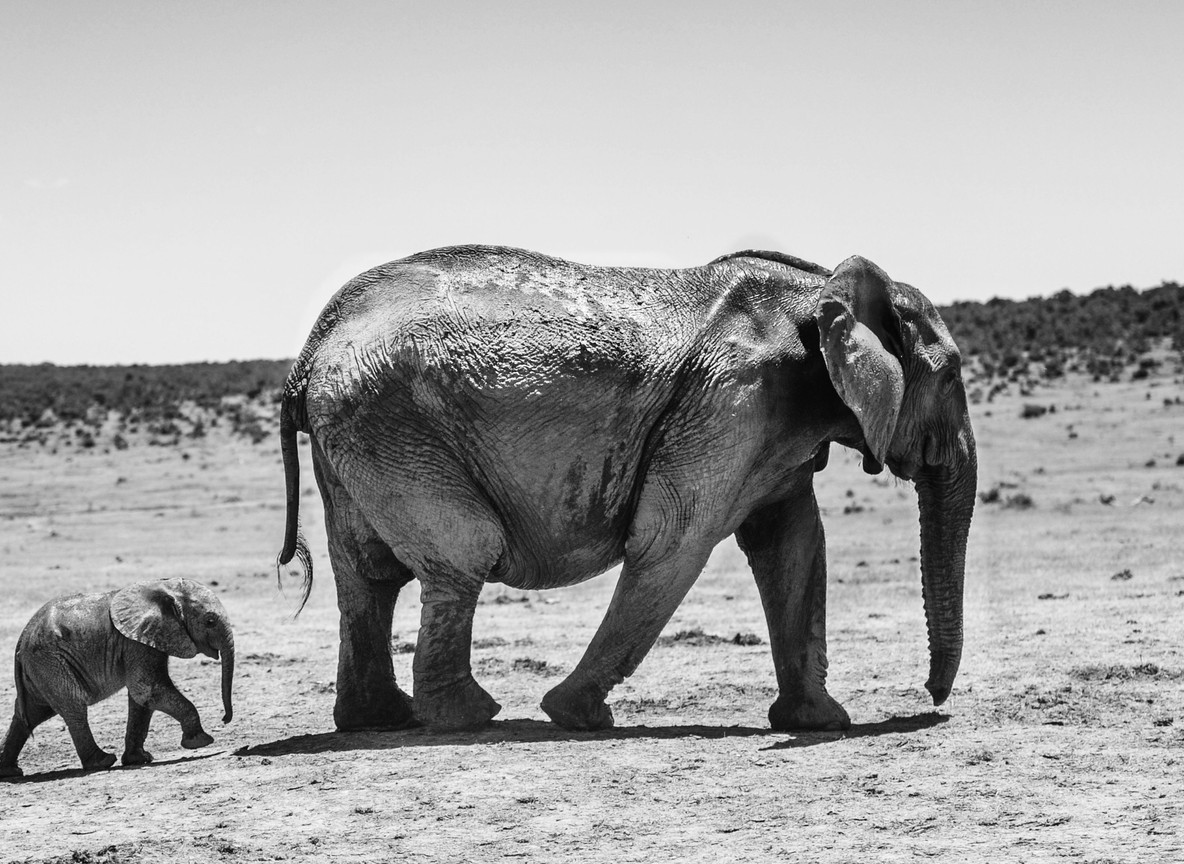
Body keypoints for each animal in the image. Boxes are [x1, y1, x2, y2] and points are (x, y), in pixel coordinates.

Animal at [0, 578, 235, 777]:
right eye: (210, 621)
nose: (224, 719)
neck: (163, 587)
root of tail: (21, 640)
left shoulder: (145, 638)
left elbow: (142, 699)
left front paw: (140, 759)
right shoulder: (135, 642)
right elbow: (147, 689)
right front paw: (201, 741)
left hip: (40, 669)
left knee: (31, 713)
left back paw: (10, 772)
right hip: (50, 662)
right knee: (73, 707)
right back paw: (102, 762)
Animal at [275, 245, 976, 733]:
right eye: (950, 375)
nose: (928, 697)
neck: (819, 292)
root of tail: (308, 355)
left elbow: (793, 546)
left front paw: (821, 723)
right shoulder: (732, 404)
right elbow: (672, 543)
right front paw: (574, 715)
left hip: (356, 437)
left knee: (366, 575)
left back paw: (379, 720)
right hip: (391, 427)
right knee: (462, 554)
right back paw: (470, 717)